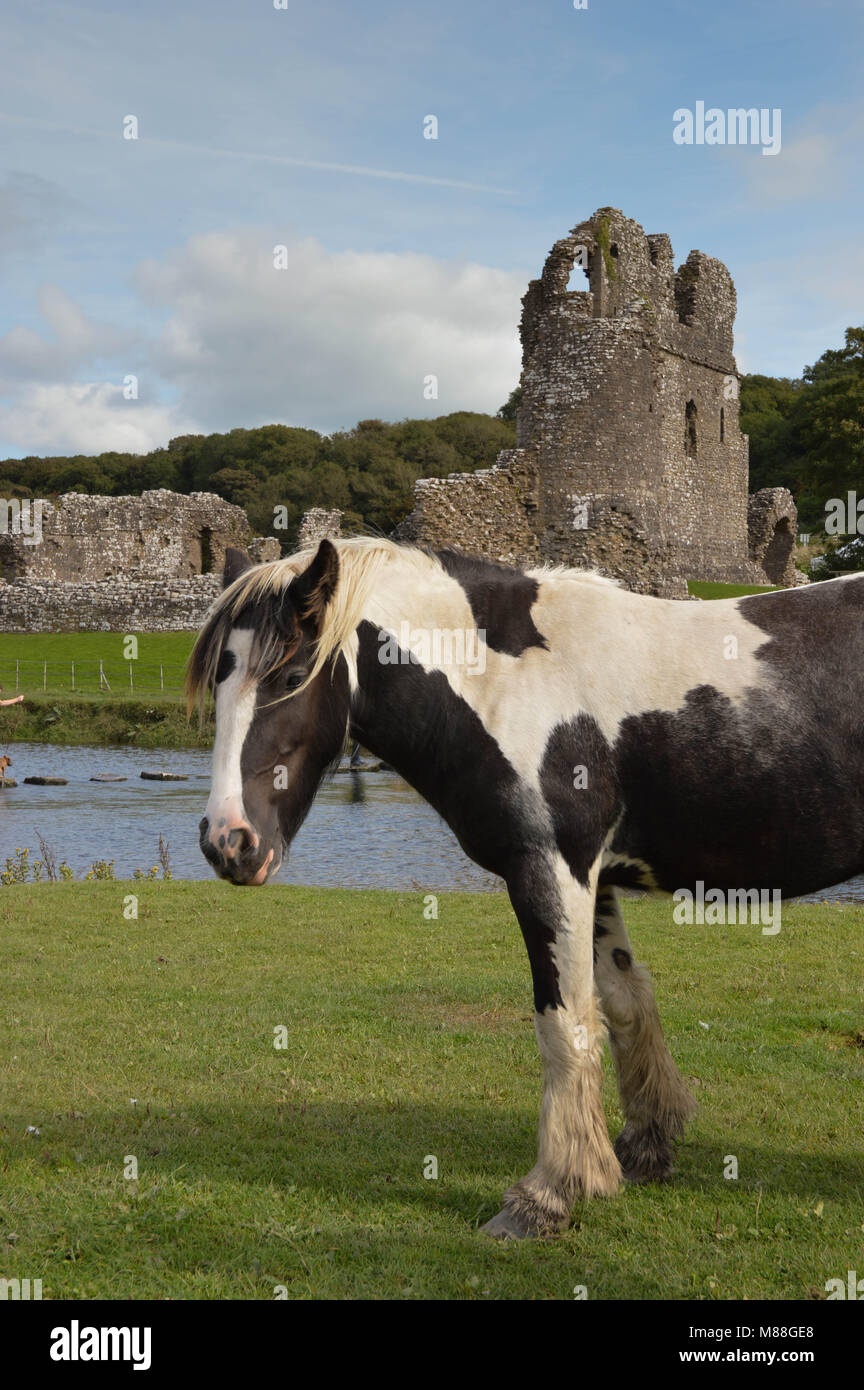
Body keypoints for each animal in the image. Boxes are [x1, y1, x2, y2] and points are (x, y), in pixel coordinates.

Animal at [188, 539, 864, 1239]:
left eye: (291, 676)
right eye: (218, 678)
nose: (227, 841)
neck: (504, 682)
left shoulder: (549, 868)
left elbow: (563, 1025)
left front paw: (548, 1194)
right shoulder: (593, 879)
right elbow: (624, 1003)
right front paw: (642, 1150)